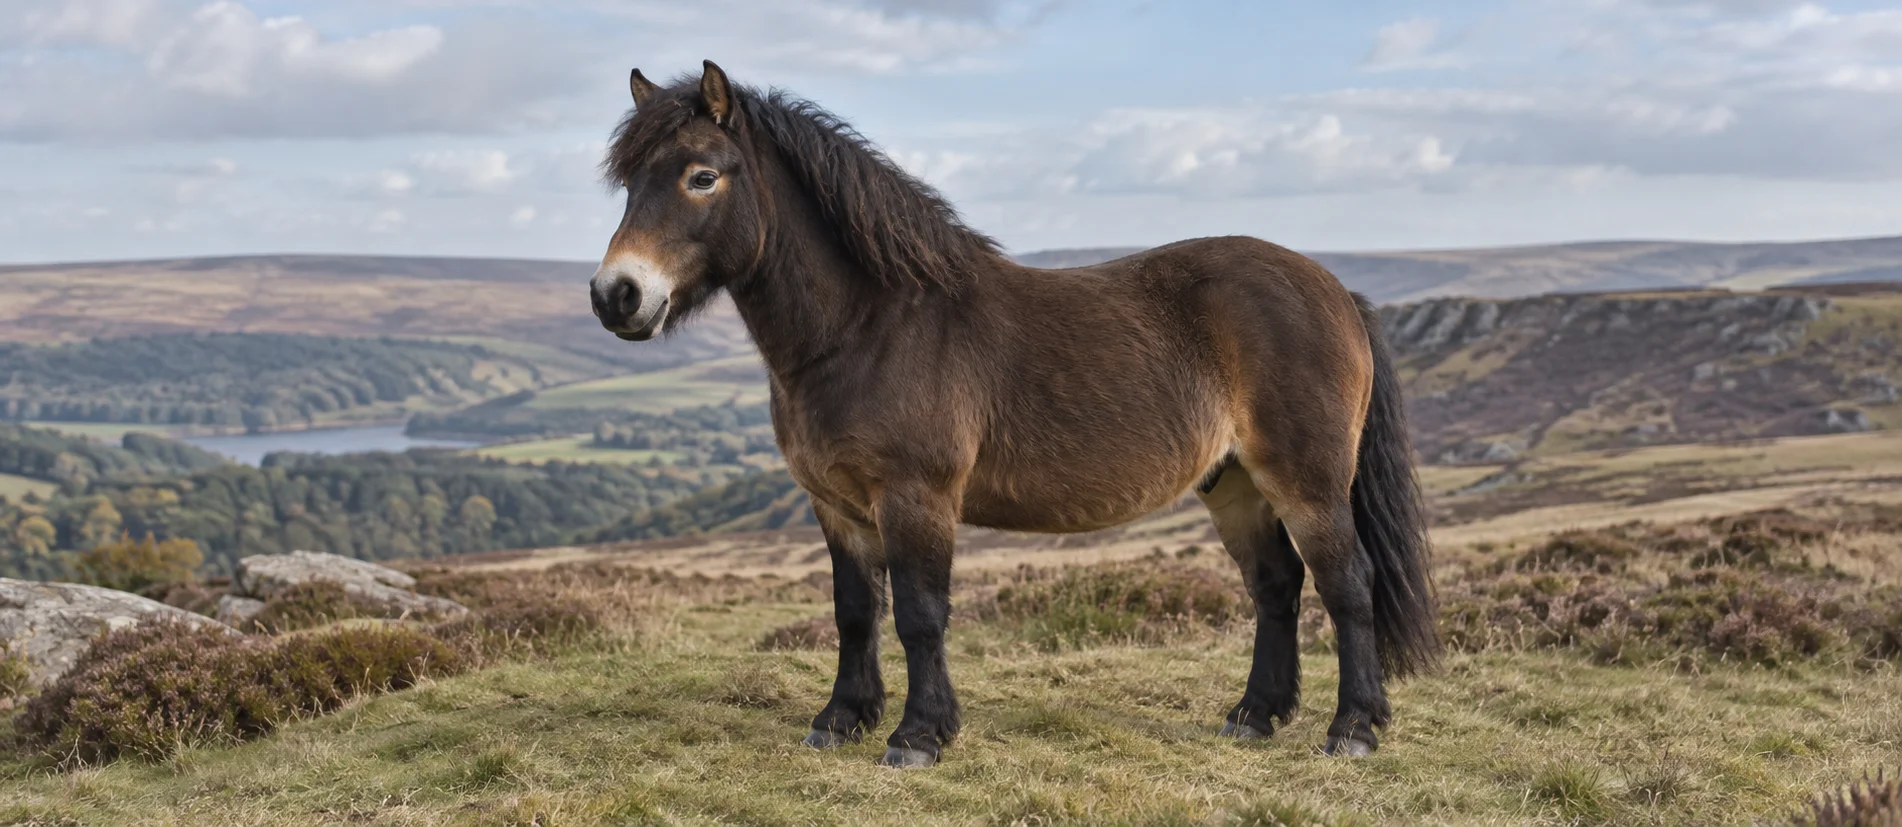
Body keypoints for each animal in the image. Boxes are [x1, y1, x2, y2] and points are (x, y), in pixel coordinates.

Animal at [589, 61, 1438, 768]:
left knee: (1346, 583)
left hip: (1306, 480)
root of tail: (1332, 288)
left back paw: (1353, 728)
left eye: (702, 176)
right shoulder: (837, 506)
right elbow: (855, 611)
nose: (616, 295)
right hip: (1233, 483)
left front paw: (919, 736)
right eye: (629, 184)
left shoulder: (917, 497)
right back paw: (1255, 715)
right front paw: (840, 719)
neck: (870, 325)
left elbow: (920, 614)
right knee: (1276, 585)